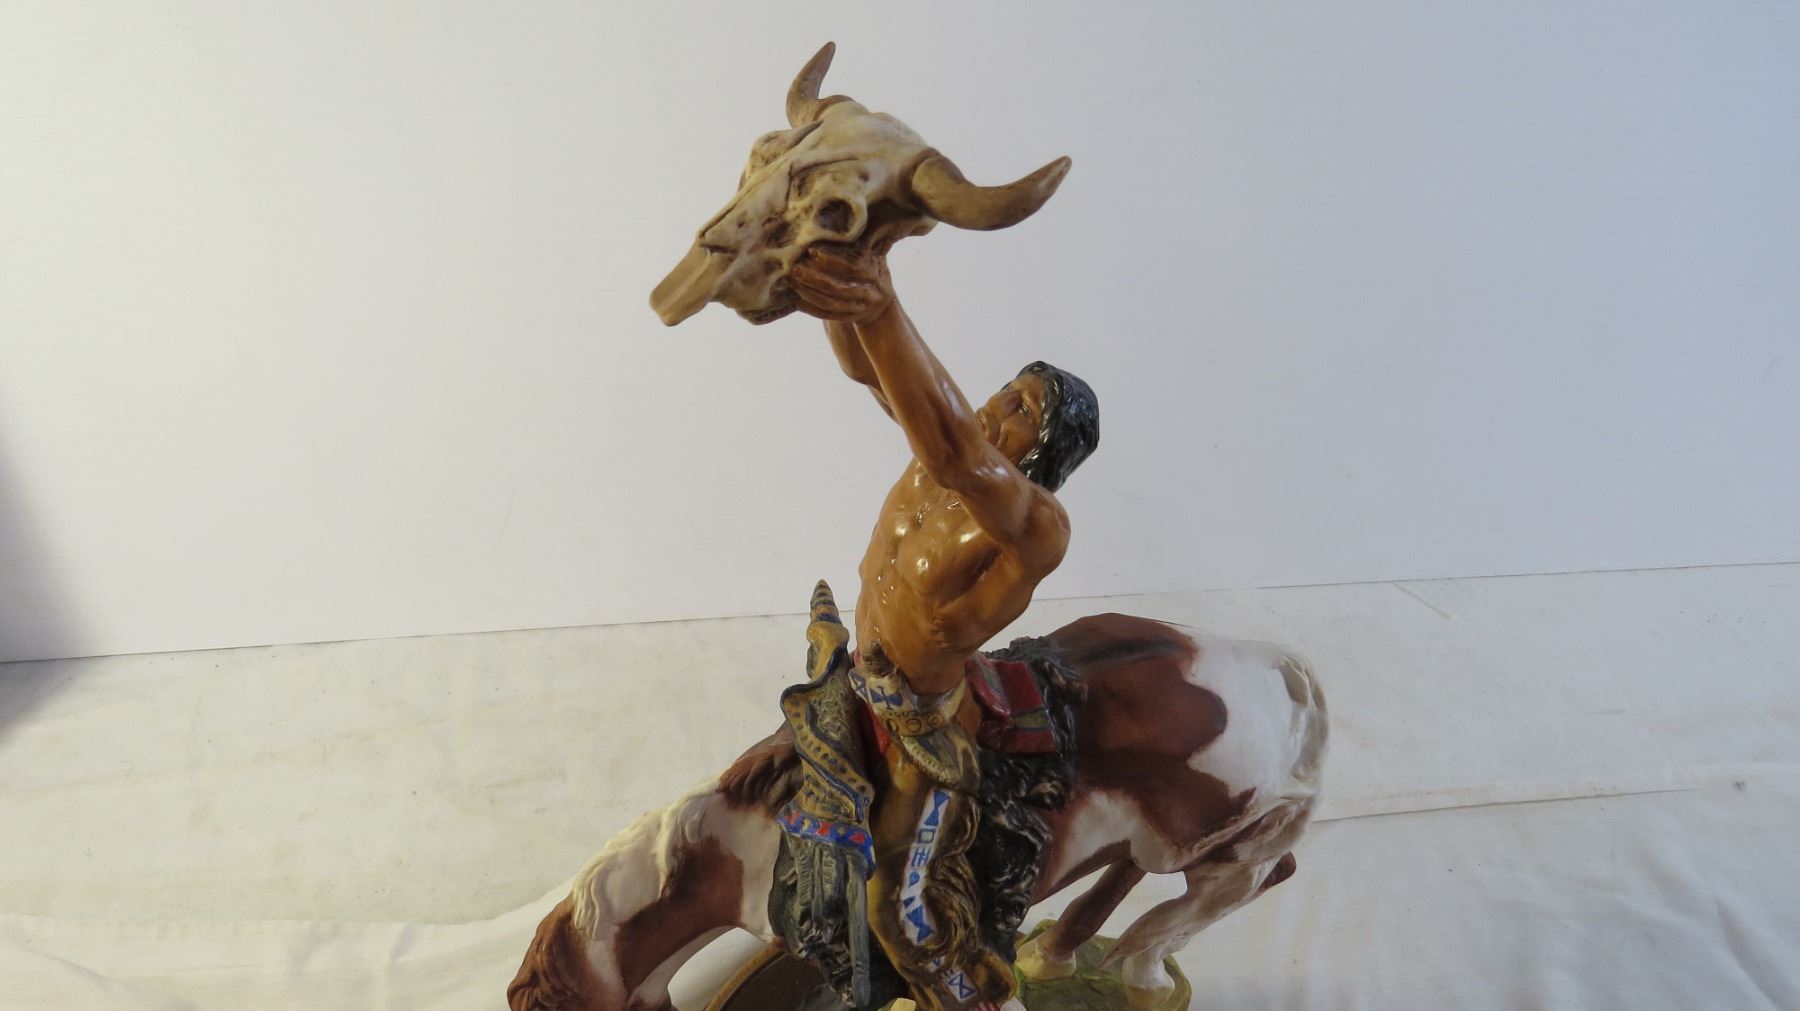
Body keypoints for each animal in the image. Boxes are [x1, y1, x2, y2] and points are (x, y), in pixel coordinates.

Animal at [508, 612, 1327, 1011]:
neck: (749, 845)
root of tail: (1274, 670)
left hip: (1216, 837)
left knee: (1256, 875)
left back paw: (1143, 969)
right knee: (1155, 868)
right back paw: (1058, 951)